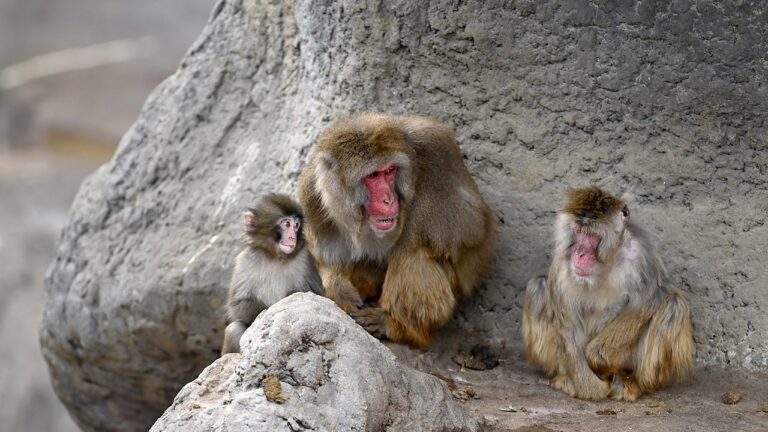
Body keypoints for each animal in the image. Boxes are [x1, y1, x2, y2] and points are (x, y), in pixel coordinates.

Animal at [221, 193, 324, 354]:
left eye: (296, 225)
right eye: (286, 224)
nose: (292, 237)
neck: (275, 257)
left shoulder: (304, 258)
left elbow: (317, 296)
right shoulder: (244, 261)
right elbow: (238, 304)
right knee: (234, 329)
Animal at [298, 113, 497, 346]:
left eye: (389, 171)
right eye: (373, 176)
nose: (388, 199)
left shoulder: (437, 150)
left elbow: (468, 223)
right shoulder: (312, 191)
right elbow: (323, 254)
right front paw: (337, 288)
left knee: (412, 253)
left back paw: (395, 325)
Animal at [522, 186, 694, 401]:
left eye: (591, 235)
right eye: (578, 231)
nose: (579, 253)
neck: (606, 260)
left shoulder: (641, 255)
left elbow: (648, 301)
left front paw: (596, 358)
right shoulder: (562, 262)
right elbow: (567, 323)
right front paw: (590, 388)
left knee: (673, 305)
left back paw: (632, 382)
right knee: (538, 286)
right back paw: (566, 379)